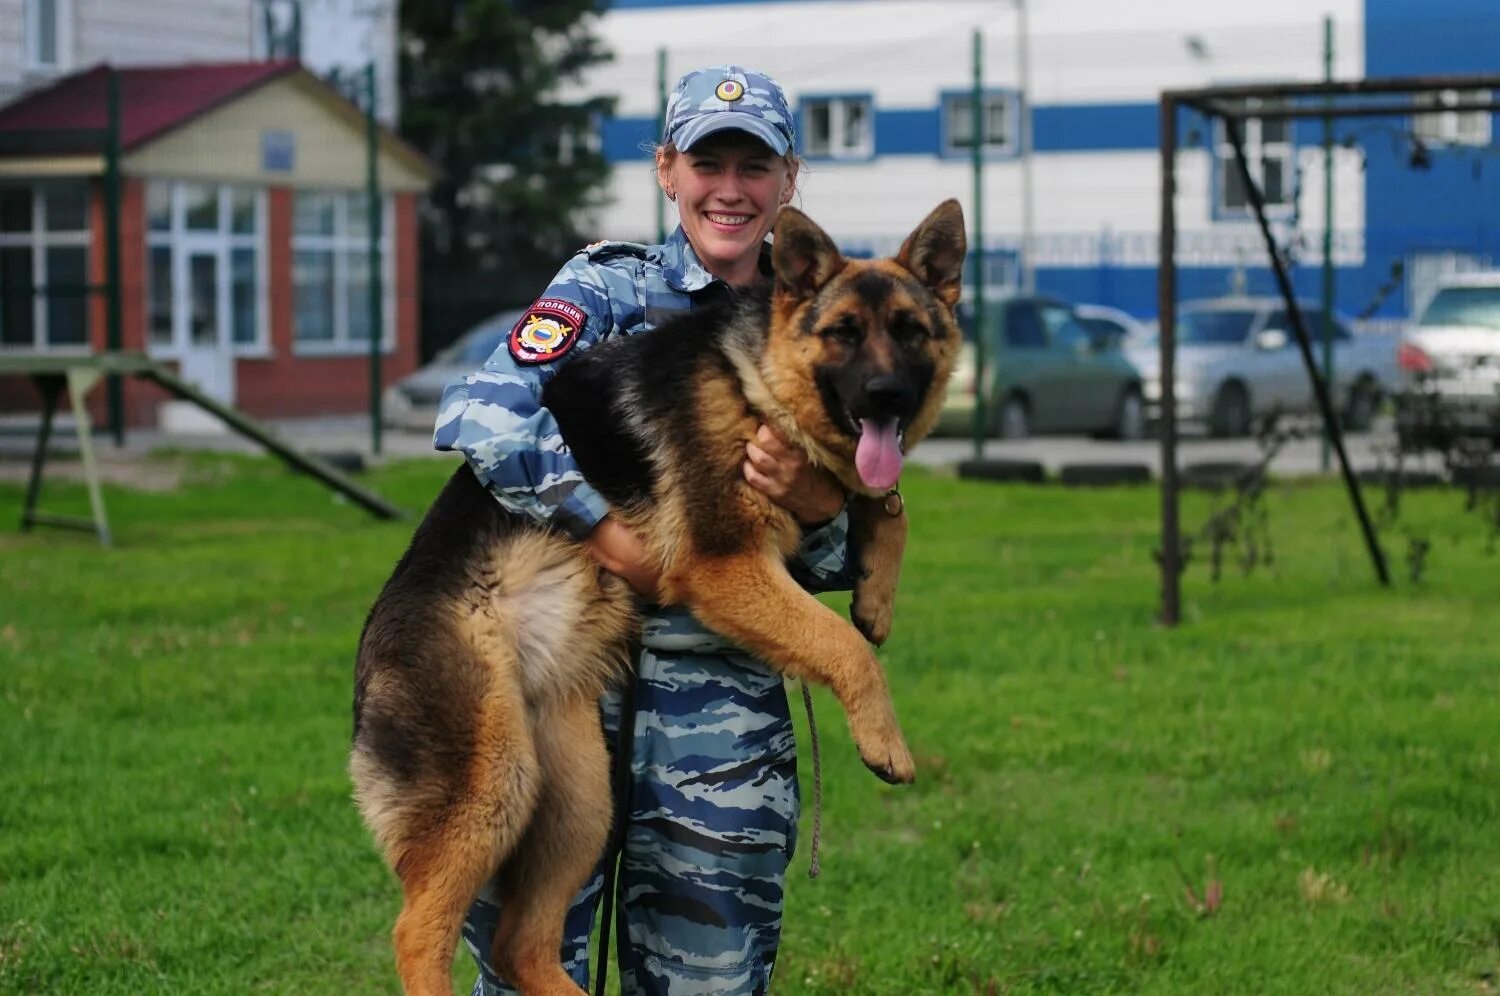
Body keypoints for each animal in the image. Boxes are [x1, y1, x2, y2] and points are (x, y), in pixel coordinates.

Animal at [348, 198, 960, 990]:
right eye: (844, 333)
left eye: (911, 332)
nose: (887, 396)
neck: (754, 378)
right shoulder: (725, 566)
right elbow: (844, 645)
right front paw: (885, 740)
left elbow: (883, 505)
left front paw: (877, 594)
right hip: (495, 783)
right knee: (419, 931)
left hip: (582, 797)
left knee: (521, 941)